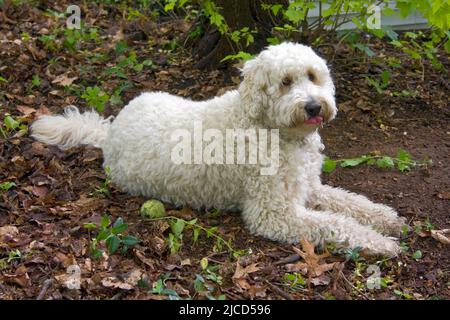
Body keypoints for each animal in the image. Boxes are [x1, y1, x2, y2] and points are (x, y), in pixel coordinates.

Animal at [30, 43, 404, 258]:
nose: (313, 106)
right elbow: (335, 224)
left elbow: (349, 202)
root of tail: (111, 132)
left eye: (312, 76)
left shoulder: (308, 187)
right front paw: (380, 242)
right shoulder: (274, 213)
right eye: (285, 82)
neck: (268, 126)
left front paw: (386, 218)